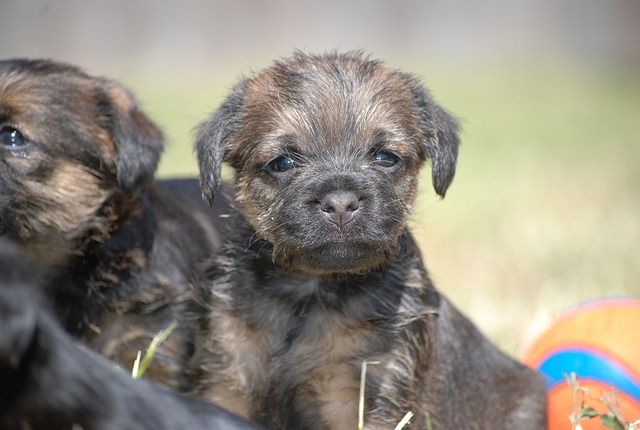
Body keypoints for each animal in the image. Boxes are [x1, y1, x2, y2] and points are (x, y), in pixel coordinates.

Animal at [192, 53, 548, 430]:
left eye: (385, 157)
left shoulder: (367, 393)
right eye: (283, 162)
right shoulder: (228, 376)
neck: (309, 293)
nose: (340, 203)